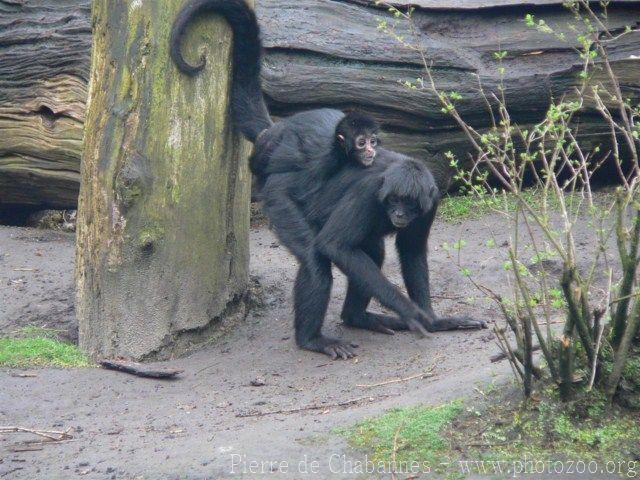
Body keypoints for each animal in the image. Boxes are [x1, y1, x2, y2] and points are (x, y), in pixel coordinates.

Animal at [170, 0, 484, 358]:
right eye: (394, 200)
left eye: (409, 204)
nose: (398, 214)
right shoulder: (367, 193)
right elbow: (334, 246)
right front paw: (410, 312)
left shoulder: (430, 200)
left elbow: (412, 249)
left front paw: (434, 320)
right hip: (278, 197)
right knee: (315, 257)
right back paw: (313, 339)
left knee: (372, 253)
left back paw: (357, 317)